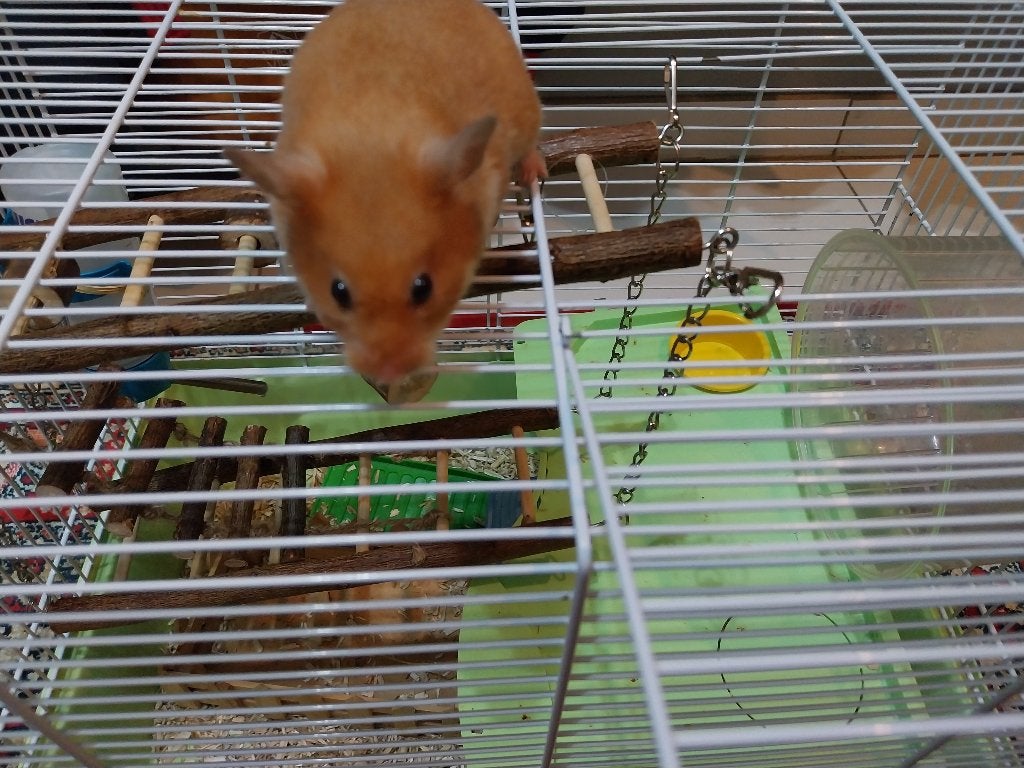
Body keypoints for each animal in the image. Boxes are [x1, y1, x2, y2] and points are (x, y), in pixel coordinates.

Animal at [225, 0, 545, 386]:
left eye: (423, 288)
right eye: (338, 292)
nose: (388, 373)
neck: (373, 131)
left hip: (527, 108)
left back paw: (534, 171)